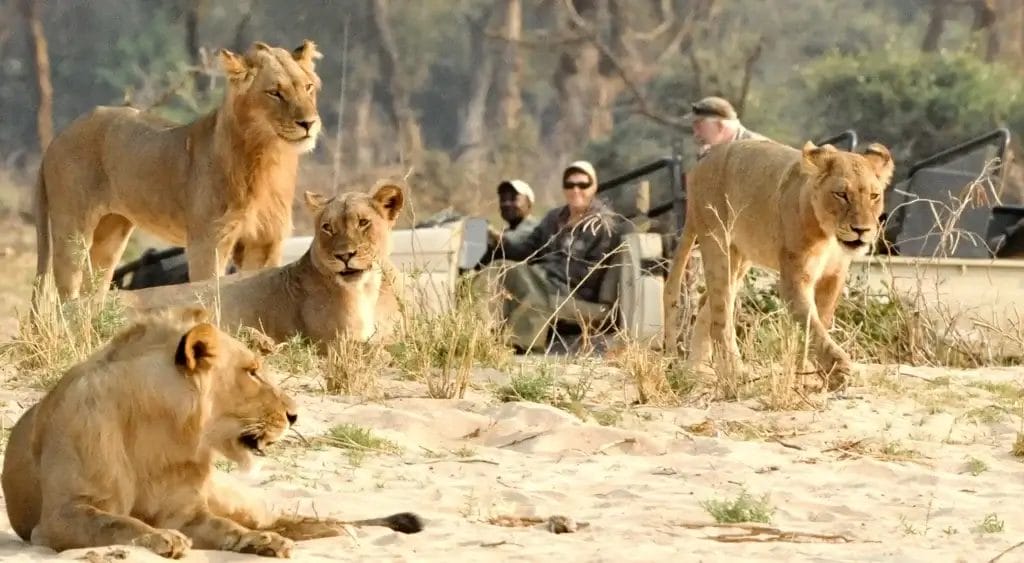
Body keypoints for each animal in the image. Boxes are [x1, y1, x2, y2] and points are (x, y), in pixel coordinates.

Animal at [0, 306, 423, 559]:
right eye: (252, 372)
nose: (295, 415)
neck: (162, 430)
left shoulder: (187, 510)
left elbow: (224, 527)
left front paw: (261, 542)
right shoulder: (60, 516)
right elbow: (115, 522)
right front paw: (162, 538)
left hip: (236, 497)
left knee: (280, 515)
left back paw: (325, 530)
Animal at [34, 39, 324, 304]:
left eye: (308, 87)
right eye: (275, 93)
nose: (308, 123)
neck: (269, 157)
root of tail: (57, 138)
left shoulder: (266, 242)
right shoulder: (207, 243)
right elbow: (211, 295)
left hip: (110, 235)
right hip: (72, 230)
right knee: (66, 296)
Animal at [117, 181, 405, 349]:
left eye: (363, 222)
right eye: (327, 227)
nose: (345, 255)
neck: (368, 289)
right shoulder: (333, 341)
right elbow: (379, 347)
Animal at [662, 139, 895, 390]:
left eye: (874, 196)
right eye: (841, 194)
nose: (862, 230)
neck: (829, 236)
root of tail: (703, 160)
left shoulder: (834, 276)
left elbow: (819, 321)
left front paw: (809, 373)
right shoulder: (795, 277)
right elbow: (811, 324)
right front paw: (838, 369)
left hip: (741, 256)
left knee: (708, 303)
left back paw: (696, 371)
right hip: (717, 242)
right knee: (720, 312)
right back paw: (734, 372)